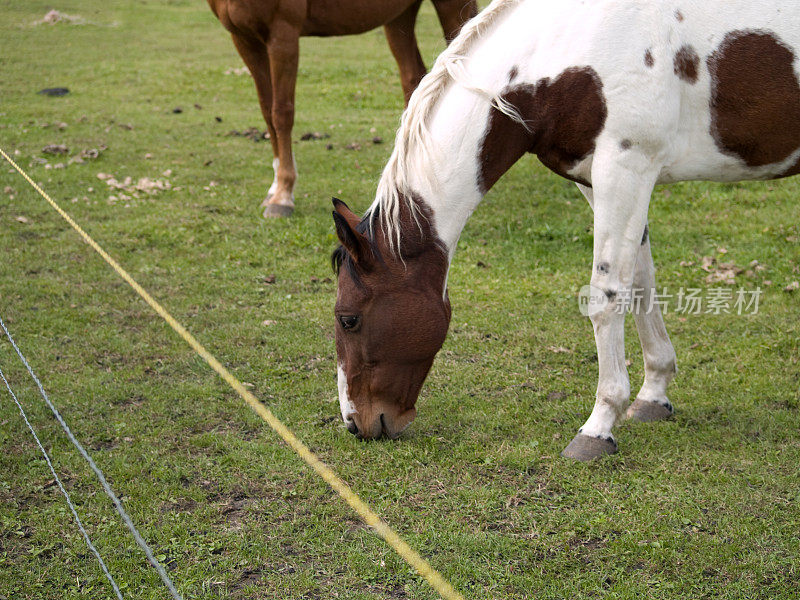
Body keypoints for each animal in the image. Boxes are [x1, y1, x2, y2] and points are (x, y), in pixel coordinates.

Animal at [209, 0, 478, 218]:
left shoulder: (283, 35)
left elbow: (281, 113)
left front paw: (283, 196)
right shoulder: (245, 39)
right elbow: (267, 110)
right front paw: (275, 188)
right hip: (399, 16)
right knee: (414, 81)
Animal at [330, 0, 800, 460]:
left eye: (348, 319)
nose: (356, 424)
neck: (575, 48)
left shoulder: (624, 170)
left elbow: (606, 297)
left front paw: (599, 426)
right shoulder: (599, 180)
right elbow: (640, 281)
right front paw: (654, 394)